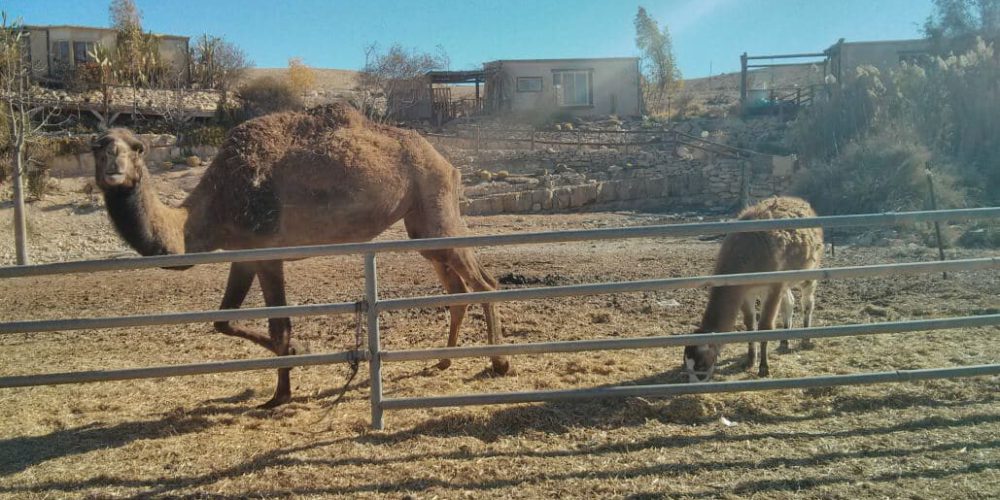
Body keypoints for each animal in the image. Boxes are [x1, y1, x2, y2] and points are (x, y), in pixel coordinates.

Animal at [92, 103, 508, 408]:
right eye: (97, 145)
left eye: (138, 147)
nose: (114, 165)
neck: (212, 207)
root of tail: (447, 161)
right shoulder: (243, 253)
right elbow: (223, 321)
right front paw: (288, 372)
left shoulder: (267, 252)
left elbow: (280, 325)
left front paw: (281, 393)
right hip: (420, 223)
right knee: (457, 287)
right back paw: (444, 360)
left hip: (435, 202)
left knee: (484, 281)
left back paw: (500, 362)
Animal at [684, 196, 824, 382]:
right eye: (687, 366)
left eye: (701, 366)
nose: (692, 384)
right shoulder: (744, 291)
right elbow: (750, 324)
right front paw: (750, 360)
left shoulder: (773, 286)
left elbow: (765, 326)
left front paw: (764, 367)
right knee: (789, 302)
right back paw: (784, 340)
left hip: (809, 270)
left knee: (807, 302)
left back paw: (806, 338)